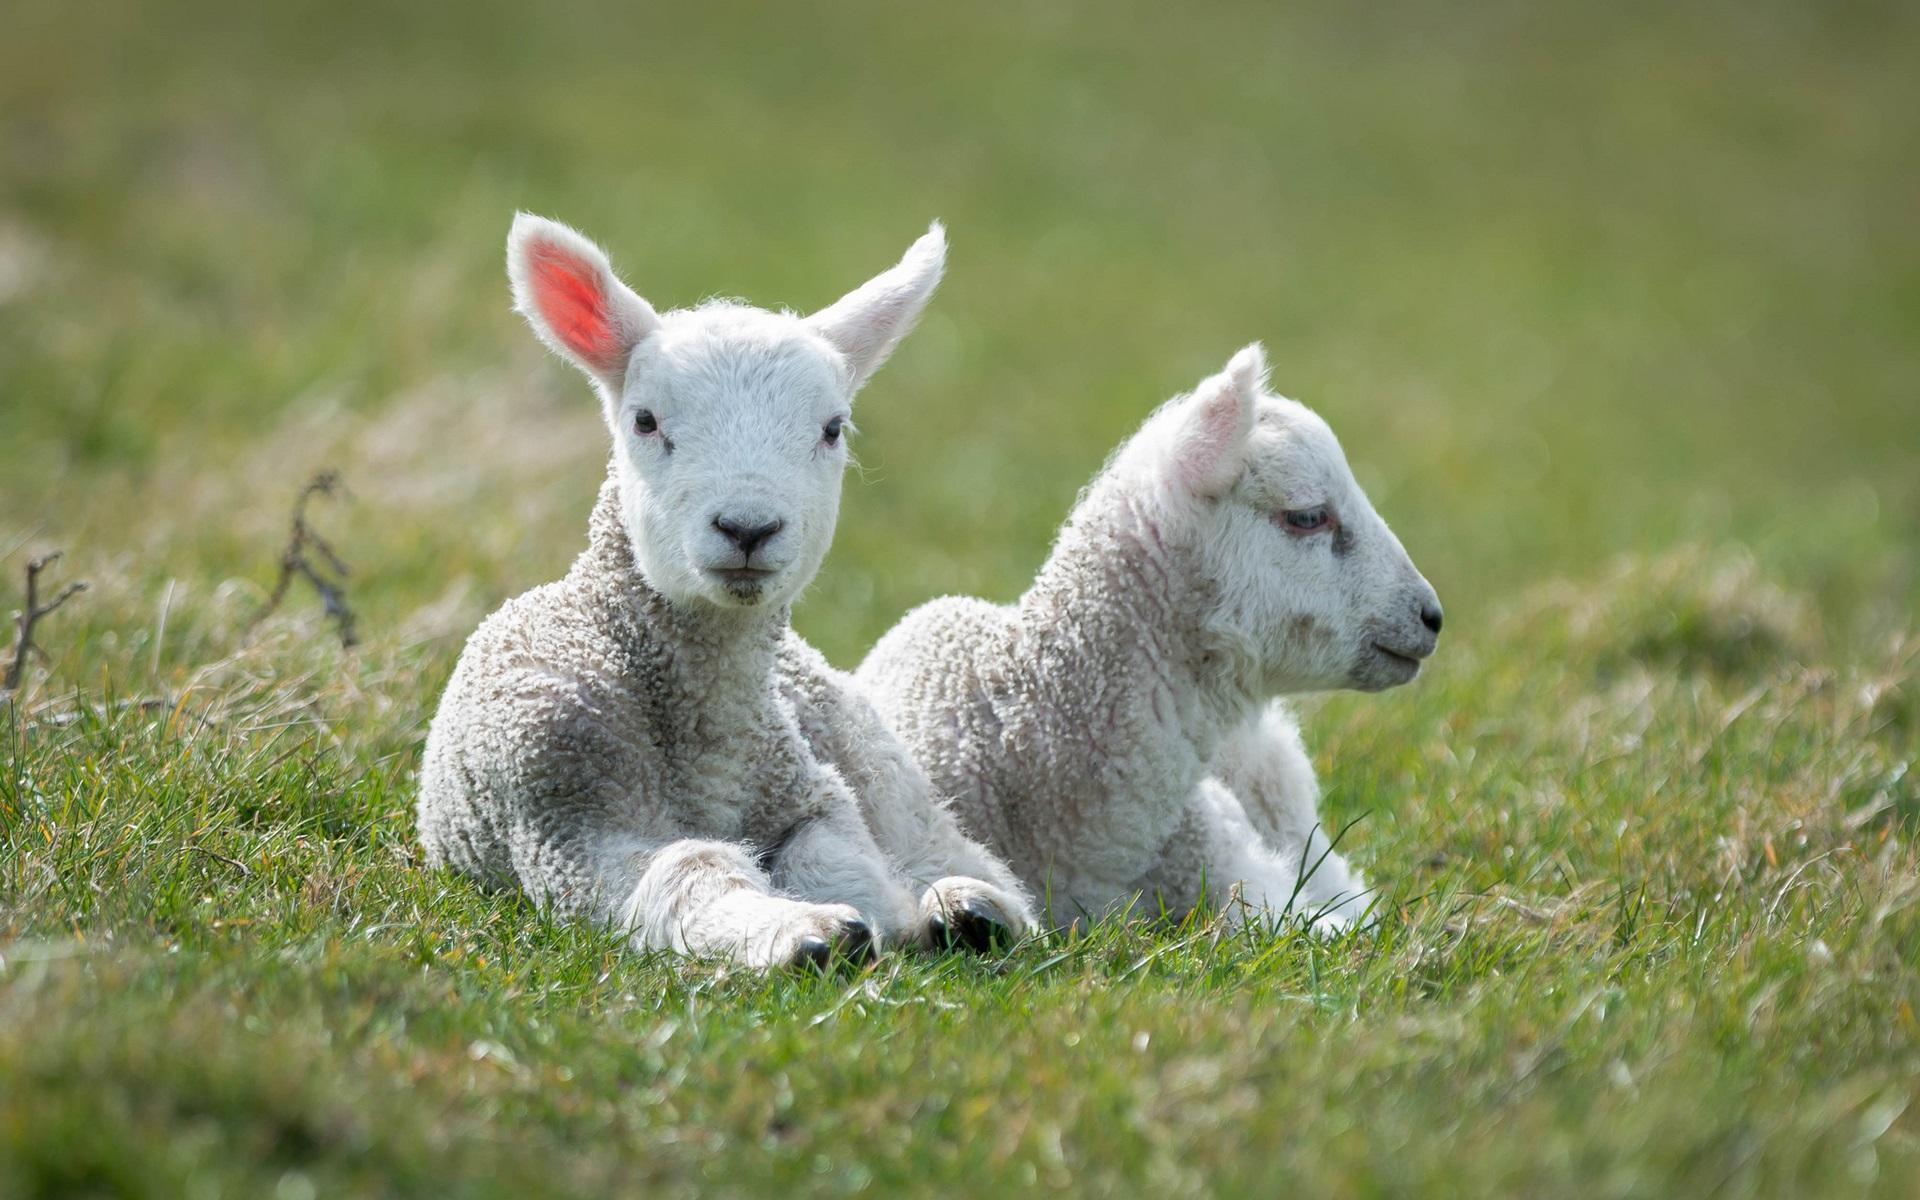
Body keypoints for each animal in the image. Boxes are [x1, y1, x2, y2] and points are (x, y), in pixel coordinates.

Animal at [412, 213, 1029, 963]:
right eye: (645, 421)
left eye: (833, 428)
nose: (747, 527)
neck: (709, 745)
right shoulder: (564, 821)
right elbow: (692, 865)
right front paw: (802, 932)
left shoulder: (811, 791)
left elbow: (838, 857)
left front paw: (884, 917)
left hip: (871, 757)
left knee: (941, 843)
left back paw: (976, 905)